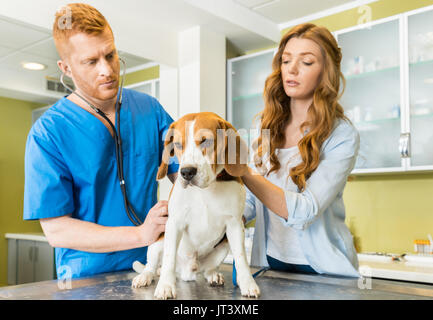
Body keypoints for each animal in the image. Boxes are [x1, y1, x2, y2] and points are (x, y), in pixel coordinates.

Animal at [132, 111, 258, 298]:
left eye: (206, 141)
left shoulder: (235, 225)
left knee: (208, 269)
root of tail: (186, 272)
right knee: (152, 265)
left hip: (224, 246)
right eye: (177, 144)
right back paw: (146, 276)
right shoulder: (174, 223)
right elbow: (168, 258)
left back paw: (213, 275)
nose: (186, 172)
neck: (206, 190)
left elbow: (241, 257)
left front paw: (248, 283)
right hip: (157, 242)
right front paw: (165, 285)